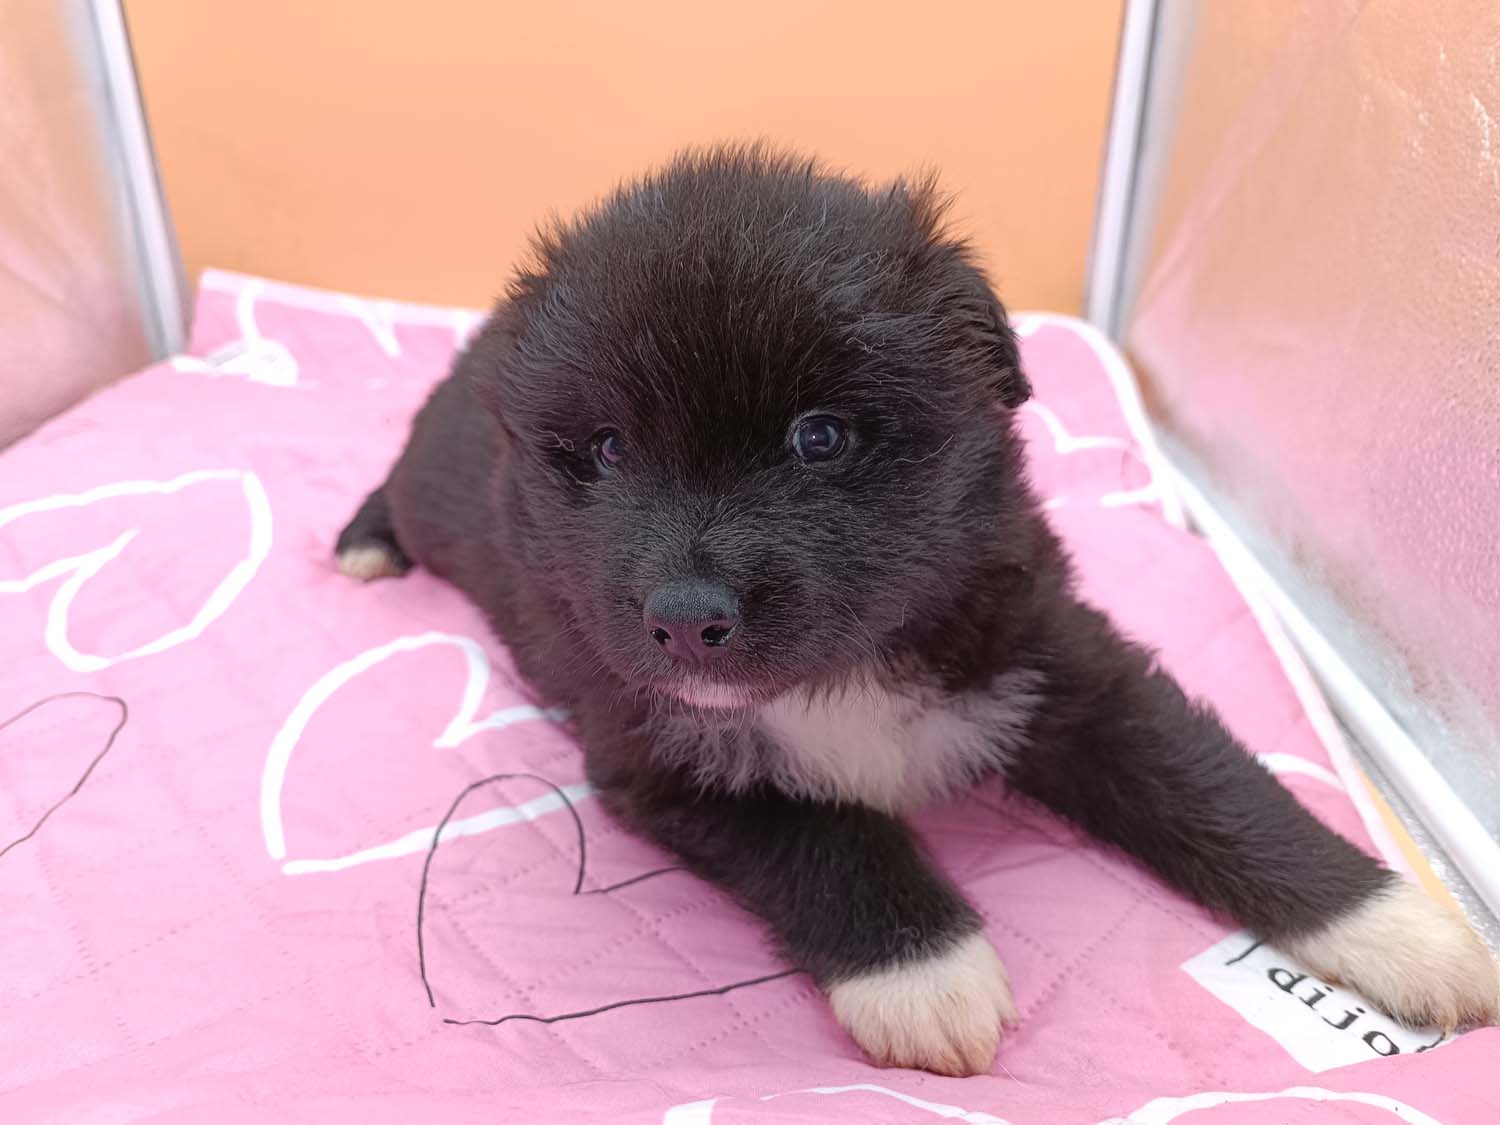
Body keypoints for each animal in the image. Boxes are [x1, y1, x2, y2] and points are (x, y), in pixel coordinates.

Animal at [337, 145, 1497, 1076]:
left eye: (819, 437)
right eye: (611, 448)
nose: (685, 619)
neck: (838, 670)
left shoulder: (1061, 661)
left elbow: (1211, 783)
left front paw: (1399, 926)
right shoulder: (654, 753)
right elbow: (825, 834)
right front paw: (927, 972)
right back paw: (364, 541)